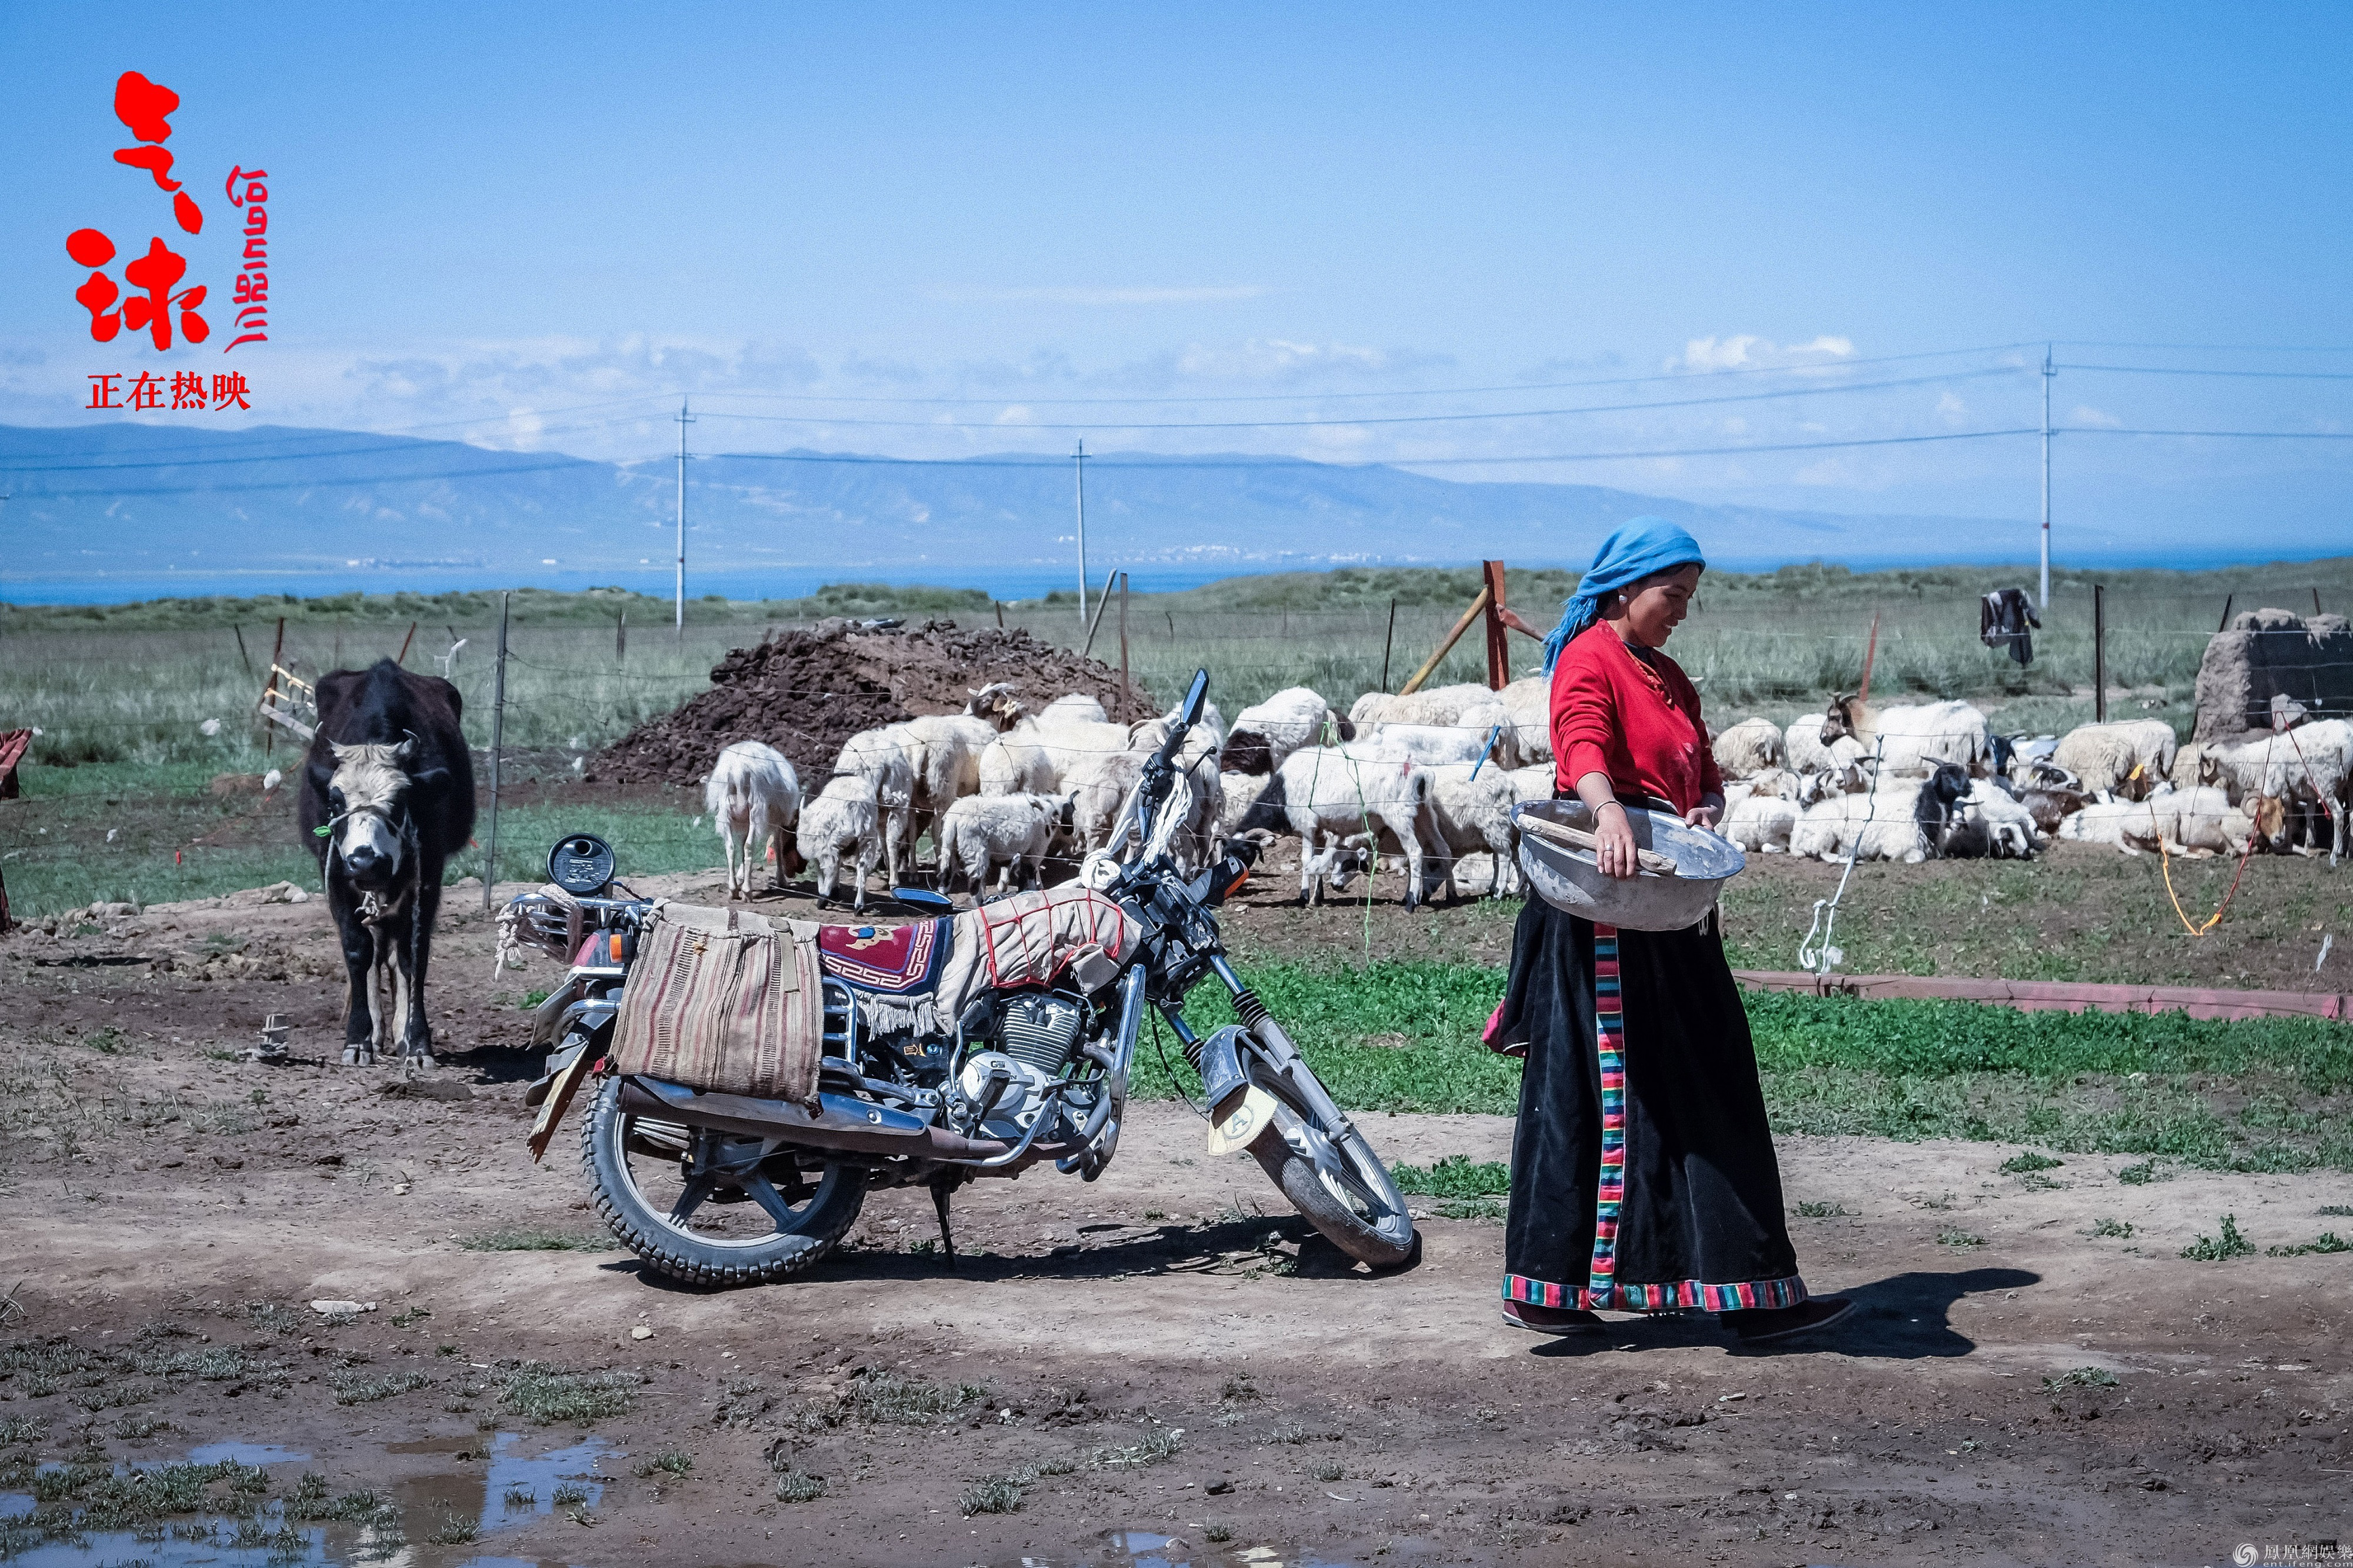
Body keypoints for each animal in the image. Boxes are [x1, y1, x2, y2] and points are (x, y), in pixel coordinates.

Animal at [701, 739, 805, 899]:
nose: (799, 871)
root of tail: (738, 769)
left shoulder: (744, 823)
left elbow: (741, 848)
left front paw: (741, 876)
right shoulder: (778, 822)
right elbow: (777, 846)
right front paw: (781, 880)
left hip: (726, 810)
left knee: (730, 847)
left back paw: (733, 889)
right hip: (756, 807)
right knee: (749, 846)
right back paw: (747, 891)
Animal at [805, 767, 885, 904]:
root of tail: (858, 805)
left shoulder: (816, 845)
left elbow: (820, 869)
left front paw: (826, 890)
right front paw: (835, 891)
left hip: (832, 840)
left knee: (831, 866)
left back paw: (823, 899)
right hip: (867, 838)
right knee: (862, 866)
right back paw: (859, 904)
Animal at [941, 781, 1078, 890]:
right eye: (1072, 810)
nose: (1070, 831)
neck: (1050, 808)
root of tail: (954, 818)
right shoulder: (1036, 849)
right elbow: (1030, 874)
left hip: (950, 847)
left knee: (945, 877)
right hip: (975, 849)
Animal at [1817, 696, 1986, 776]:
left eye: (1831, 717)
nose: (1822, 738)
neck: (1870, 726)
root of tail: (1976, 724)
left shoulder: (1884, 768)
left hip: (1948, 763)